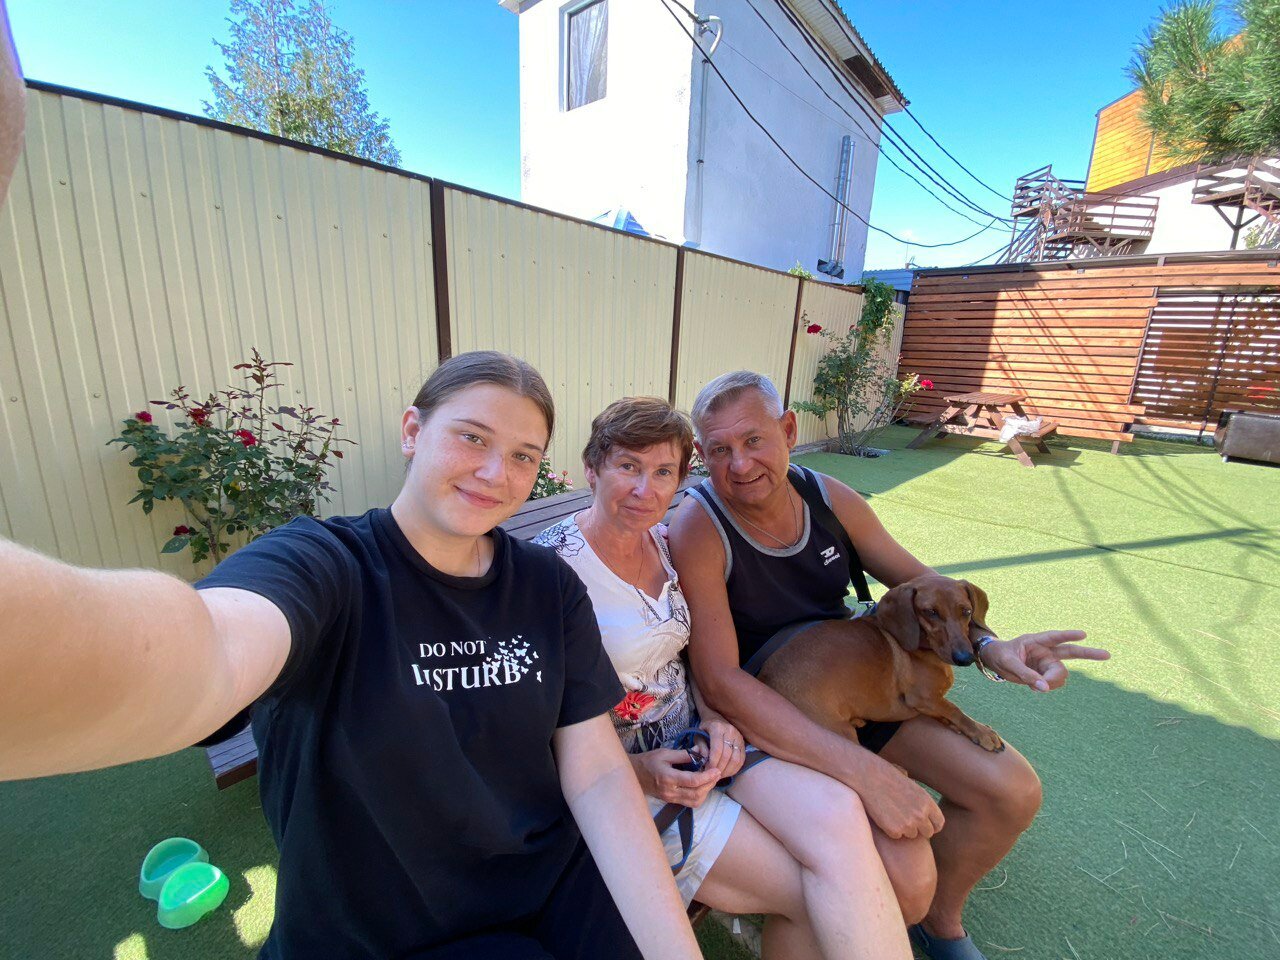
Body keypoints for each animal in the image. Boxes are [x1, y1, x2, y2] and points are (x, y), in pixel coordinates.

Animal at [757, 574, 1005, 752]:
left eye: (967, 611)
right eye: (930, 612)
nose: (965, 658)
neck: (924, 650)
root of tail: (764, 679)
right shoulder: (922, 697)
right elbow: (954, 709)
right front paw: (982, 732)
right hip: (836, 732)